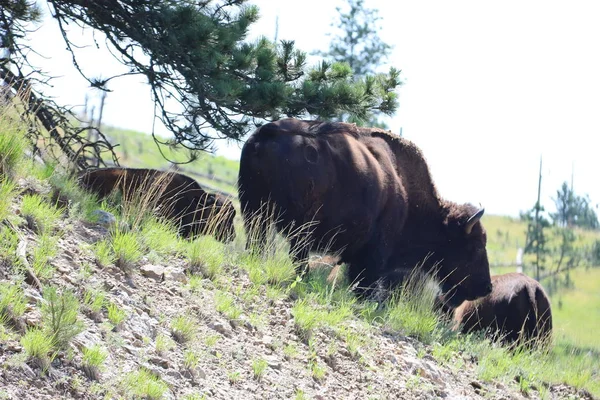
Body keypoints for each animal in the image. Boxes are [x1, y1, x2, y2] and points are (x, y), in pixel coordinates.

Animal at [238, 117, 492, 304]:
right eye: (475, 246)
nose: (486, 287)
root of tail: (267, 133)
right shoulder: (375, 251)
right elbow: (365, 280)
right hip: (297, 226)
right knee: (297, 255)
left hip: (254, 211)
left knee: (258, 241)